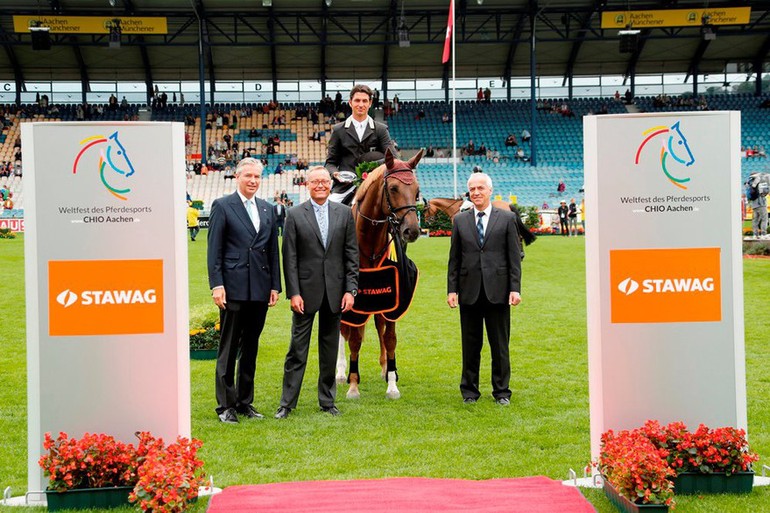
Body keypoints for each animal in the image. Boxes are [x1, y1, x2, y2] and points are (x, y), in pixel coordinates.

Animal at [334, 146, 420, 398]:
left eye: (417, 190)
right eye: (393, 188)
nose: (412, 230)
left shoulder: (392, 293)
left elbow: (389, 337)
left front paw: (392, 383)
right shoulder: (355, 298)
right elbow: (354, 338)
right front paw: (353, 385)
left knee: (379, 326)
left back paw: (384, 368)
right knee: (342, 330)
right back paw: (340, 372)